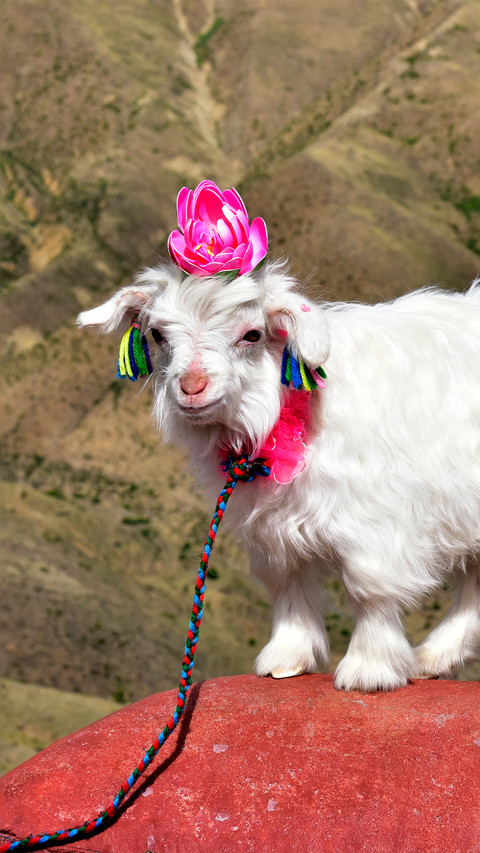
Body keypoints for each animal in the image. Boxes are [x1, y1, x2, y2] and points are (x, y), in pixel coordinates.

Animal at [77, 263, 480, 692]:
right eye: (157, 334)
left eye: (252, 334)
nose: (192, 388)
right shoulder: (274, 527)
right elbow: (288, 581)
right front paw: (287, 658)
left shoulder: (376, 520)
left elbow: (370, 590)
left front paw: (369, 670)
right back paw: (435, 656)